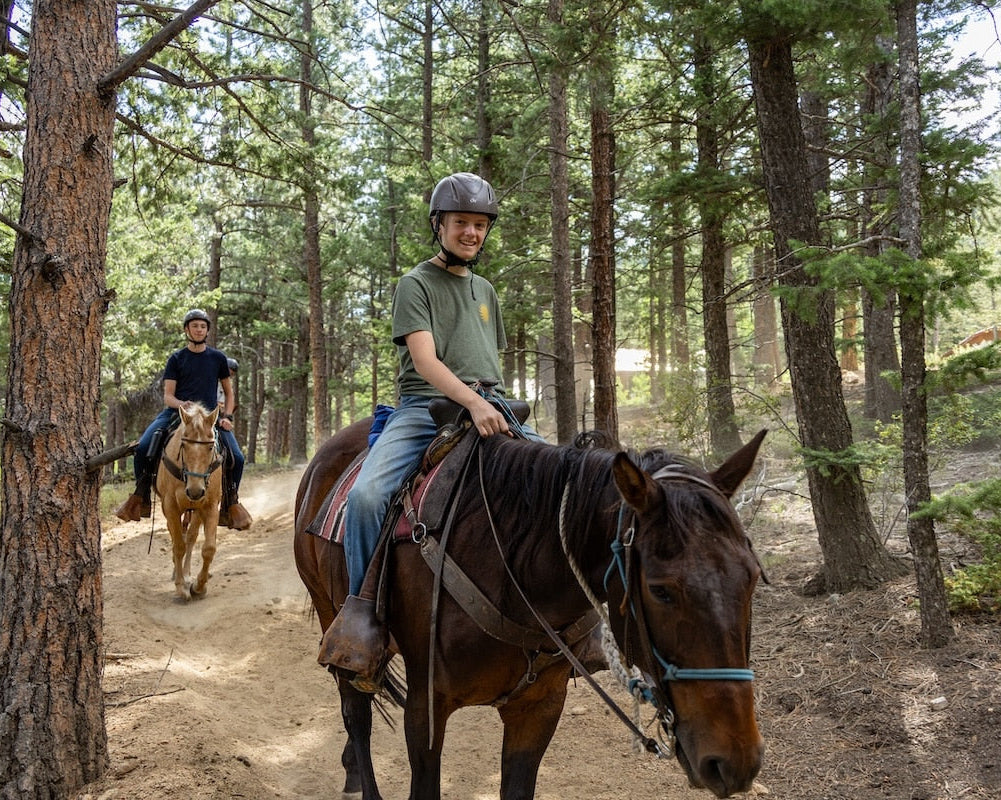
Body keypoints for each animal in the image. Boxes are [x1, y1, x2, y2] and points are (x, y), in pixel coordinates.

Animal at [157, 406, 224, 600]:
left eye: (211, 447)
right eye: (183, 445)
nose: (195, 491)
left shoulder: (210, 506)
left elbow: (208, 548)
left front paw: (199, 586)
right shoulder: (170, 507)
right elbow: (178, 545)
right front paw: (180, 587)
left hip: (196, 510)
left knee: (191, 537)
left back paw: (187, 574)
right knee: (177, 536)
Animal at [292, 418, 760, 800]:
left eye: (754, 577)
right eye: (661, 591)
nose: (734, 762)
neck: (507, 563)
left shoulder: (538, 707)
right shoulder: (425, 709)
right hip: (330, 612)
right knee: (356, 711)